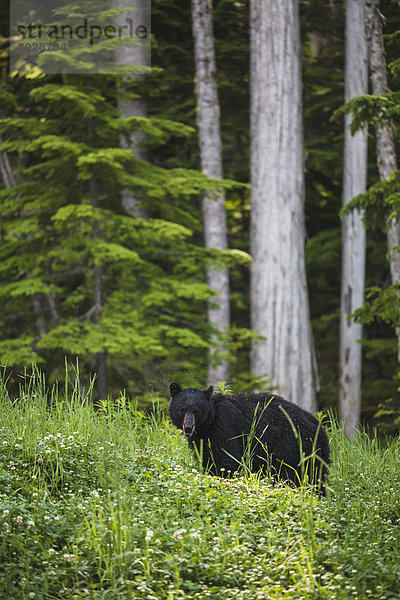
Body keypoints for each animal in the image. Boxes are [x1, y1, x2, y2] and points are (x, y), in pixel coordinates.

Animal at [170, 382, 330, 494]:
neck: (209, 423)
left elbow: (227, 459)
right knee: (316, 476)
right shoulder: (202, 439)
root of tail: (320, 429)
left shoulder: (224, 426)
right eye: (182, 409)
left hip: (293, 447)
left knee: (293, 474)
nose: (188, 427)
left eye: (196, 411)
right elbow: (207, 457)